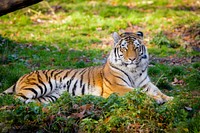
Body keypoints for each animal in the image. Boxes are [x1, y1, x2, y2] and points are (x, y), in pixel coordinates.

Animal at [0, 30, 173, 104]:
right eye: (124, 48)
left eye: (136, 47)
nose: (132, 59)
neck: (134, 71)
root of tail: (21, 77)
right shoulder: (117, 87)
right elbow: (138, 92)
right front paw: (157, 100)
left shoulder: (146, 84)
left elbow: (158, 91)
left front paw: (170, 99)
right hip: (39, 85)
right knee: (15, 100)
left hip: (51, 96)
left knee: (32, 102)